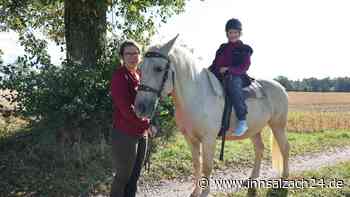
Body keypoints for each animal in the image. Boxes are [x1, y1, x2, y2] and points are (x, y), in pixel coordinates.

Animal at [135, 36, 290, 196]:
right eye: (139, 69)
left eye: (158, 68)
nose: (140, 107)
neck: (197, 95)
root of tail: (281, 87)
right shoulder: (190, 138)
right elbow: (196, 164)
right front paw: (195, 191)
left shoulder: (208, 139)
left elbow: (207, 166)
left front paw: (204, 192)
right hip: (254, 130)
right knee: (259, 149)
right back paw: (252, 179)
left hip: (278, 126)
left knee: (285, 148)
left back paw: (284, 177)